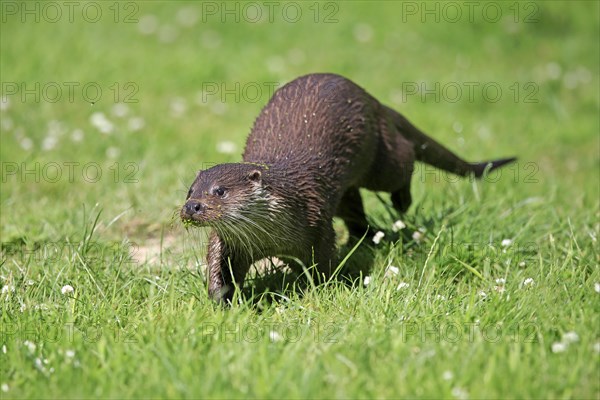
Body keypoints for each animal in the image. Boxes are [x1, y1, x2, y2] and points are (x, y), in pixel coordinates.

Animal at [179, 73, 516, 304]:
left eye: (219, 191)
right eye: (190, 191)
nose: (192, 207)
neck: (271, 239)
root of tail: (371, 98)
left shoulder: (317, 224)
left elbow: (324, 263)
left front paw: (320, 290)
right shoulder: (229, 243)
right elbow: (218, 267)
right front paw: (222, 301)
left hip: (381, 162)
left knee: (405, 158)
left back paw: (401, 203)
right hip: (347, 193)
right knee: (354, 206)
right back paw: (362, 237)